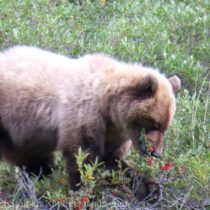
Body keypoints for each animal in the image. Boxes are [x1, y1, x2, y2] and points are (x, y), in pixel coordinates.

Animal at [0, 44, 180, 197]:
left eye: (165, 127)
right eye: (155, 124)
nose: (156, 152)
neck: (108, 106)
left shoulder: (113, 131)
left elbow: (112, 161)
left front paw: (150, 188)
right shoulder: (85, 114)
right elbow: (84, 156)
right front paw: (82, 191)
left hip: (25, 135)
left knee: (32, 159)